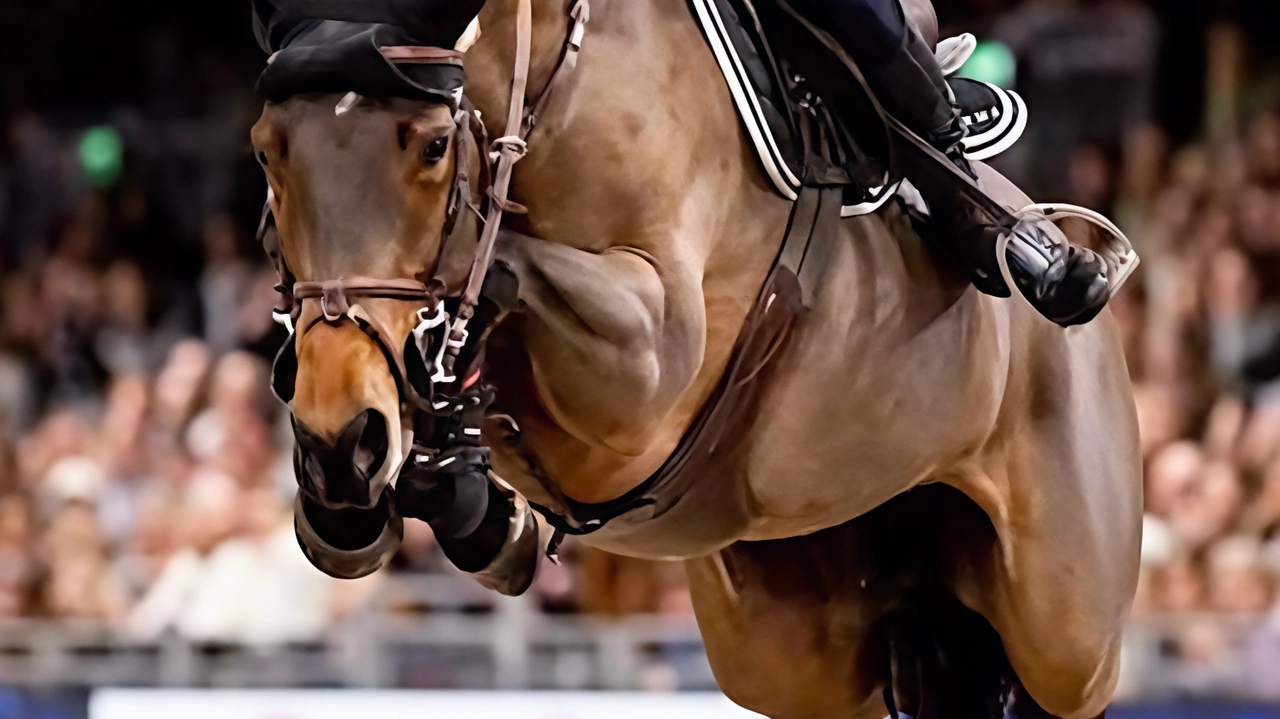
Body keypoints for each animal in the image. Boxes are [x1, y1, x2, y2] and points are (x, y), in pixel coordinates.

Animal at [249, 0, 1141, 711]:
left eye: (433, 147)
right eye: (265, 150)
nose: (343, 433)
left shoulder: (645, 370)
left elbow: (505, 263)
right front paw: (434, 491)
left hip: (1067, 634)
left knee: (1057, 674)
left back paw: (1035, 257)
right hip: (795, 644)